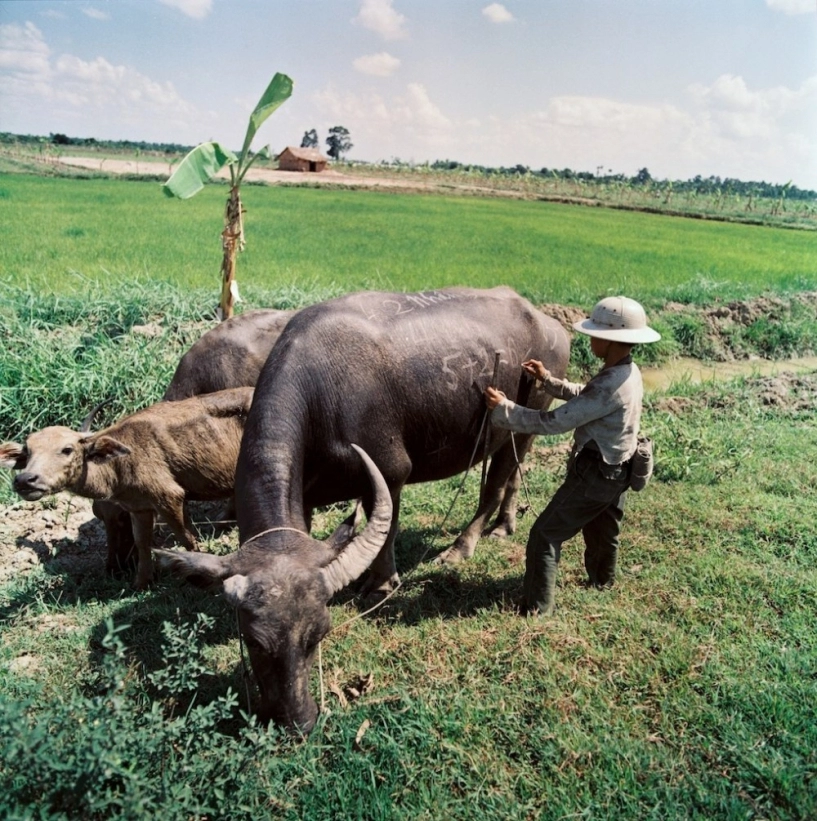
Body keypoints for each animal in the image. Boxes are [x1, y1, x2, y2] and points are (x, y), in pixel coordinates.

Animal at [0, 388, 253, 588]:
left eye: (67, 449)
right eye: (28, 452)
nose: (25, 480)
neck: (120, 462)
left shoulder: (169, 498)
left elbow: (187, 538)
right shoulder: (139, 507)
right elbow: (142, 542)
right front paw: (142, 582)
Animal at [156, 286, 572, 732]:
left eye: (319, 634)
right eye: (252, 639)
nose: (297, 720)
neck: (319, 395)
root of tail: (550, 325)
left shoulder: (390, 471)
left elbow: (385, 529)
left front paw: (381, 583)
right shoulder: (304, 497)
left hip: (520, 420)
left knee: (493, 487)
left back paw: (461, 546)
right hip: (520, 433)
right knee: (513, 477)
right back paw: (505, 524)